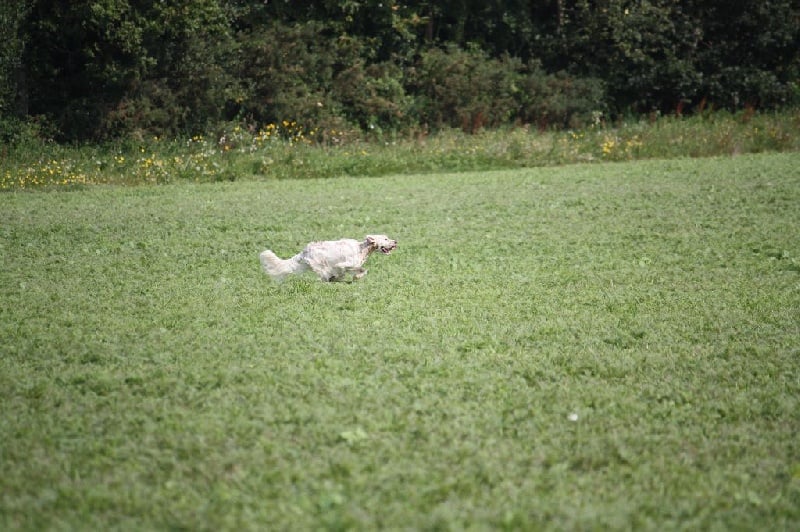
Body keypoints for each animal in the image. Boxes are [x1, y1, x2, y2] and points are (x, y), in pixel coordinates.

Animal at [260, 234, 397, 282]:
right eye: (385, 239)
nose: (396, 242)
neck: (362, 248)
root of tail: (304, 251)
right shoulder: (344, 264)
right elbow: (343, 269)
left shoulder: (353, 265)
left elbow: (362, 270)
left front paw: (356, 277)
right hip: (320, 264)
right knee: (324, 275)